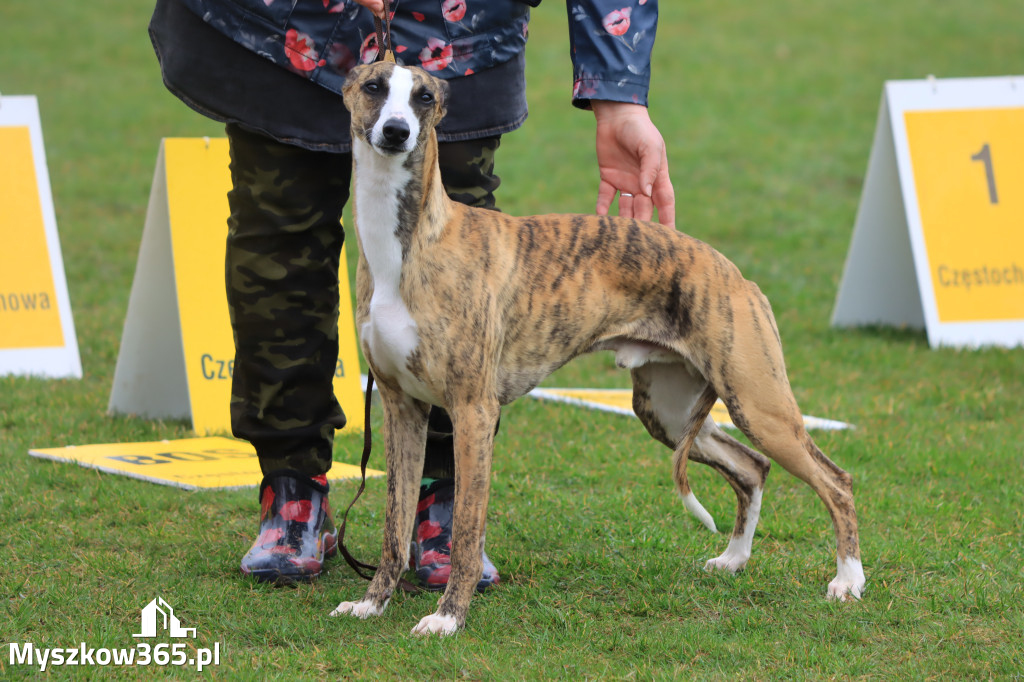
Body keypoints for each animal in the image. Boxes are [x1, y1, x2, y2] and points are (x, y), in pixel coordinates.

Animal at [329, 61, 864, 634]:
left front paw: (449, 617)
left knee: (835, 481)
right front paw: (371, 602)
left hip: (759, 403)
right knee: (752, 468)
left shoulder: (473, 410)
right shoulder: (402, 406)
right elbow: (394, 524)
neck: (413, 245)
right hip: (670, 413)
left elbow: (468, 532)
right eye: (374, 87)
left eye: (424, 96)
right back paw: (733, 559)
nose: (396, 132)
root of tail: (736, 275)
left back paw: (848, 582)